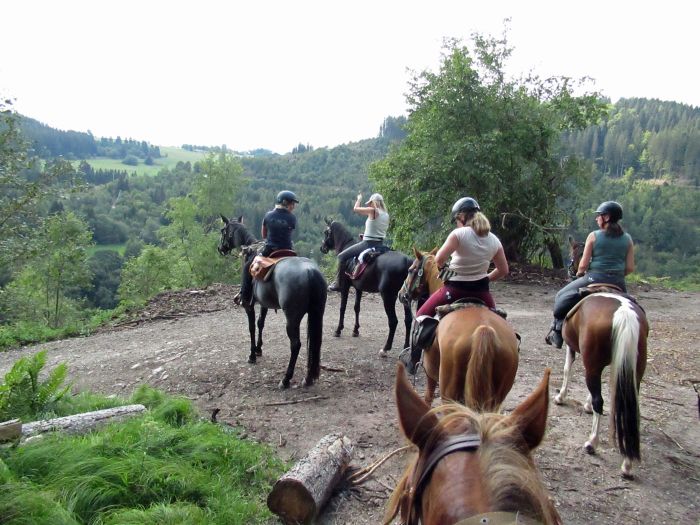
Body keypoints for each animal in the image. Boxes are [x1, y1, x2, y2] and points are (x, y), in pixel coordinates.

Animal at [219, 214, 328, 388]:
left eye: (223, 230)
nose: (220, 248)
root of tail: (310, 271)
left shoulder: (249, 305)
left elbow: (251, 327)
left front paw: (252, 355)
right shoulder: (264, 304)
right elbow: (260, 323)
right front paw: (258, 349)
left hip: (292, 318)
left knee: (295, 344)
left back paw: (286, 379)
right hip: (316, 313)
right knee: (314, 342)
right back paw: (308, 378)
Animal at [320, 217, 412, 356]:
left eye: (326, 232)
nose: (322, 248)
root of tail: (406, 261)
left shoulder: (345, 287)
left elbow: (342, 307)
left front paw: (338, 330)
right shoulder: (359, 288)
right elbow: (356, 308)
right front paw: (355, 330)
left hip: (388, 297)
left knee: (393, 321)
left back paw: (386, 348)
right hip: (404, 298)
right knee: (408, 320)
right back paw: (406, 347)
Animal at [400, 248, 520, 408]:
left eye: (410, 270)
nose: (401, 294)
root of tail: (484, 330)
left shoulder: (430, 372)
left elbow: (428, 398)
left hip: (448, 391)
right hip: (497, 397)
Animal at [552, 237, 652, 478]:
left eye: (574, 253)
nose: (572, 270)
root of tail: (624, 314)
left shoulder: (573, 347)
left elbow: (567, 370)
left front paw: (561, 397)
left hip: (593, 362)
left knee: (600, 400)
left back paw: (592, 443)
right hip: (635, 368)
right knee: (629, 406)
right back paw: (627, 462)